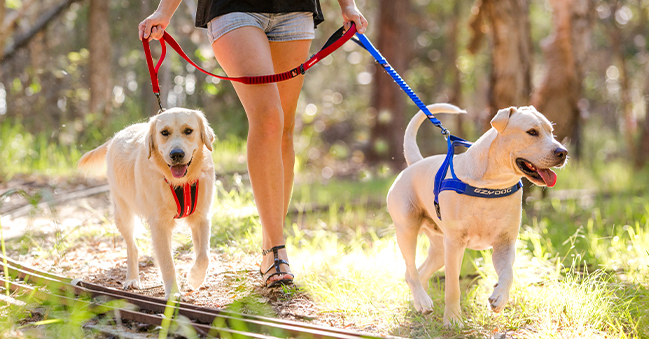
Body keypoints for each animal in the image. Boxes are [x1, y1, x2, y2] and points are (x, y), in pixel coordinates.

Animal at [78, 107, 215, 298]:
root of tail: (115, 137)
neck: (180, 183)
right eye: (164, 133)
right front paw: (173, 293)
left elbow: (203, 255)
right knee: (132, 248)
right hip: (123, 214)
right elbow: (167, 262)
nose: (176, 154)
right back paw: (132, 279)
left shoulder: (201, 216)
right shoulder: (159, 224)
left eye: (188, 131)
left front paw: (195, 278)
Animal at [388, 104, 564, 326]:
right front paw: (453, 320)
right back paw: (422, 300)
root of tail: (414, 164)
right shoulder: (455, 244)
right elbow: (453, 286)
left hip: (439, 247)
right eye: (532, 132)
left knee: (420, 271)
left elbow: (508, 273)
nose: (563, 152)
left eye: (551, 131)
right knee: (410, 270)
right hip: (407, 230)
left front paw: (499, 298)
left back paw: (420, 303)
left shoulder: (505, 243)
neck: (492, 184)